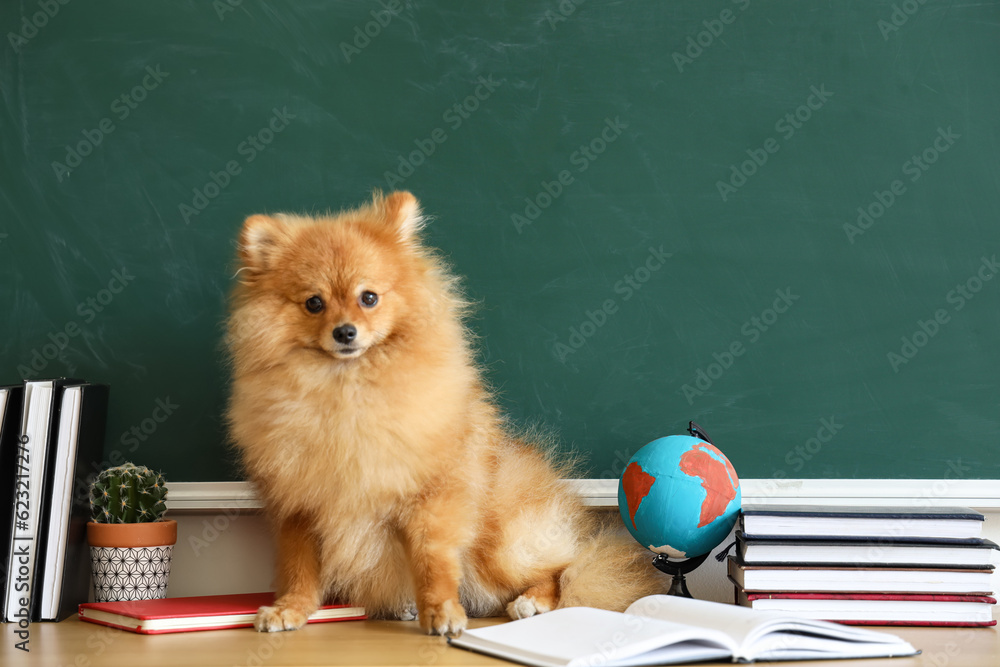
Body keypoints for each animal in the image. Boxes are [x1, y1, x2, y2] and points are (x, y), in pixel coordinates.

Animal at [228, 190, 664, 636]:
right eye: (314, 303)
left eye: (369, 297)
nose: (345, 331)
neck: (346, 392)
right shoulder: (298, 506)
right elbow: (300, 570)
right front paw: (290, 610)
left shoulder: (432, 497)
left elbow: (432, 561)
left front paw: (441, 612)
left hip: (500, 546)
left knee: (567, 570)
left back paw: (531, 602)